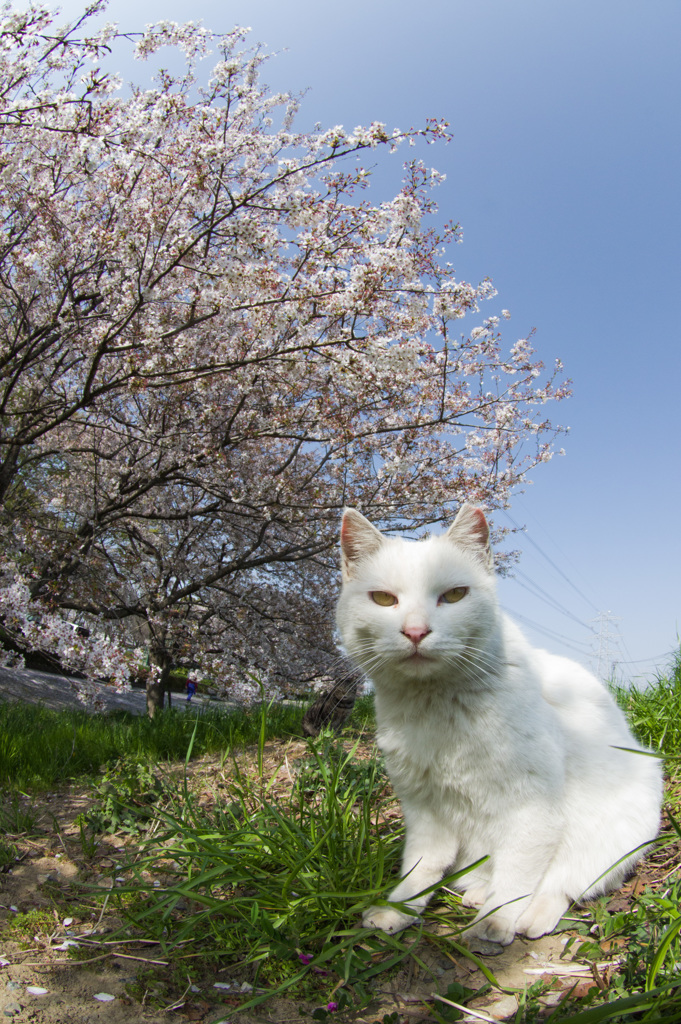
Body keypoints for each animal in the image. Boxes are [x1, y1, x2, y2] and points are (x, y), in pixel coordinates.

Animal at [337, 503, 659, 942]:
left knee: (559, 885)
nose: (416, 632)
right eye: (384, 599)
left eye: (454, 595)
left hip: (610, 834)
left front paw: (495, 922)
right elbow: (420, 869)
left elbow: (518, 874)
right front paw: (397, 911)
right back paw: (477, 896)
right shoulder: (423, 808)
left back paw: (527, 918)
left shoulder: (532, 806)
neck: (436, 705)